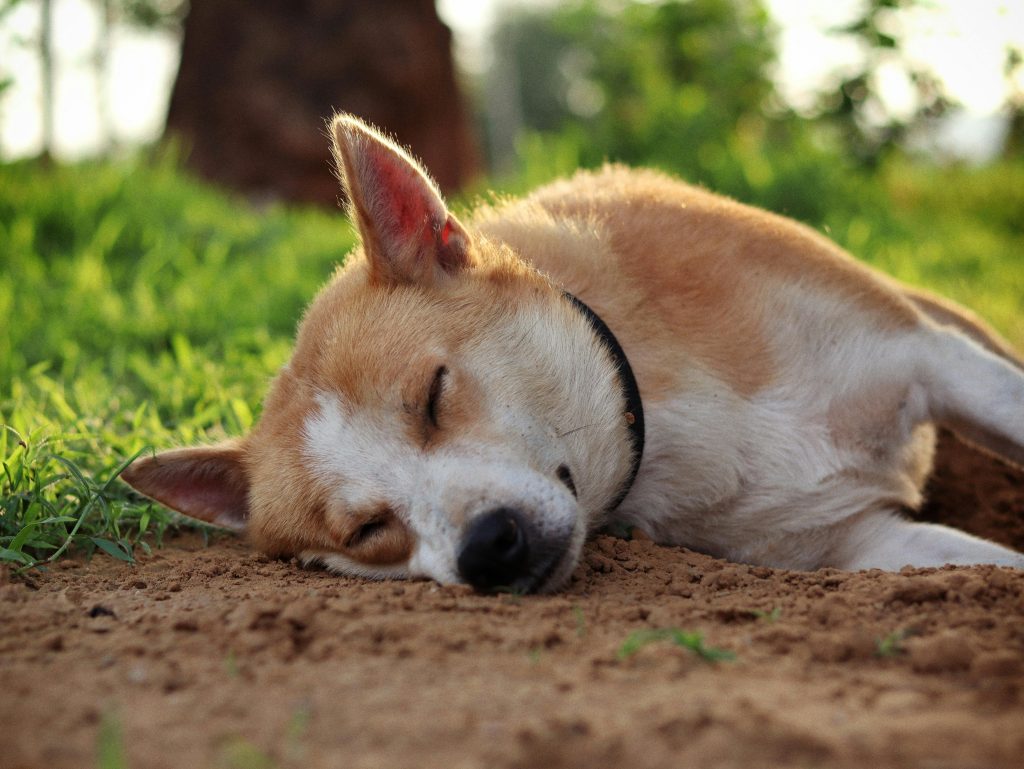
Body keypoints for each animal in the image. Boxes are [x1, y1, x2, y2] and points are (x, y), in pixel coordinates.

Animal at [123, 115, 1024, 593]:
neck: (665, 419)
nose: (489, 546)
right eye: (367, 530)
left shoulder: (928, 359)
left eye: (433, 394)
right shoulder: (862, 545)